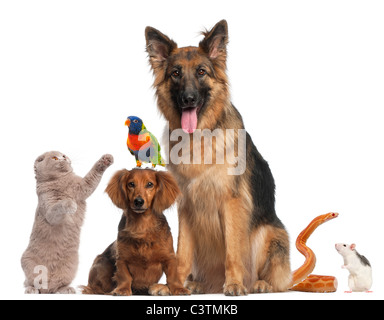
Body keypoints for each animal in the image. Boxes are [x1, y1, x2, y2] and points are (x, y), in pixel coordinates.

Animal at [21, 151, 113, 294]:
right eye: (54, 158)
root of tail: (48, 289)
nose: (64, 158)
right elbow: (58, 206)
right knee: (31, 282)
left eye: (63, 155)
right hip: (27, 262)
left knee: (58, 284)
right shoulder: (49, 210)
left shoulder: (83, 186)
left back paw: (66, 289)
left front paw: (106, 159)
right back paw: (32, 289)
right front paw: (69, 203)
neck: (60, 181)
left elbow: (92, 176)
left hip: (71, 266)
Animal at [145, 20, 292, 296]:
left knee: (276, 279)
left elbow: (232, 252)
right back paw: (197, 284)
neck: (199, 137)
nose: (188, 99)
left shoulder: (231, 203)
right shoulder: (187, 206)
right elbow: (181, 252)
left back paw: (259, 284)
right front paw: (173, 285)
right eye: (175, 73)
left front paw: (234, 283)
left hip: (270, 233)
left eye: (202, 72)